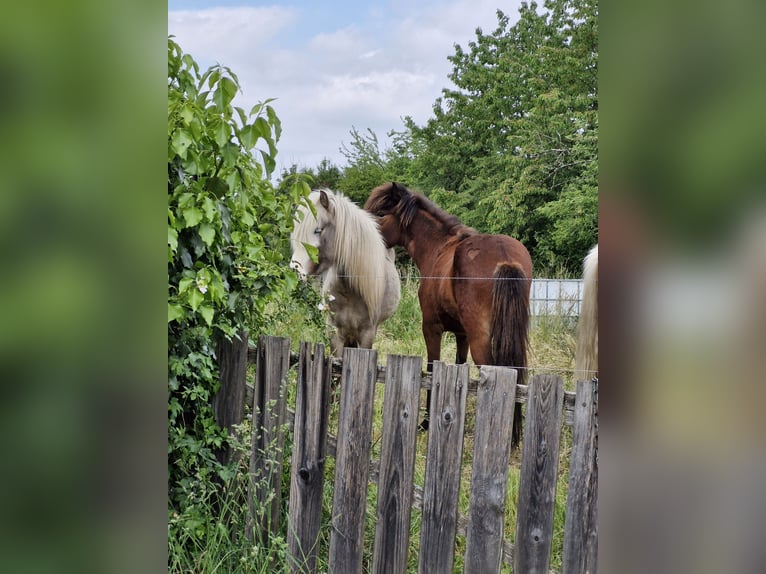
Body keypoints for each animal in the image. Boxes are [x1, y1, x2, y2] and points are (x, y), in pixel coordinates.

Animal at [364, 182, 532, 447]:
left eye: (381, 213)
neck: (438, 249)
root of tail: (506, 258)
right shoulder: (462, 335)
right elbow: (458, 367)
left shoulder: (431, 328)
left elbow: (432, 369)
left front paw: (426, 423)